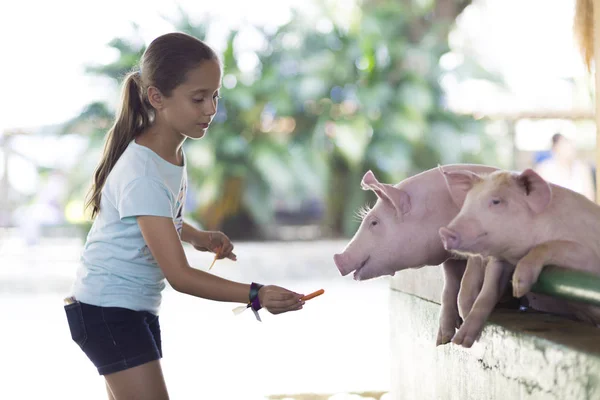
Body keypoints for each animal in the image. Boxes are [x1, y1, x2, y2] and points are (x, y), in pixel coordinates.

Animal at [332, 164, 496, 346]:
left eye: (374, 222)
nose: (337, 259)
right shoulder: (449, 258)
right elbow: (449, 285)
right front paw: (442, 340)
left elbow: (469, 275)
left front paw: (464, 323)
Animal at [438, 167, 600, 346]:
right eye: (467, 202)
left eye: (496, 201)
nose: (444, 232)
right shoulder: (500, 261)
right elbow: (487, 293)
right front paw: (461, 342)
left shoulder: (589, 256)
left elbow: (548, 246)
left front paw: (519, 286)